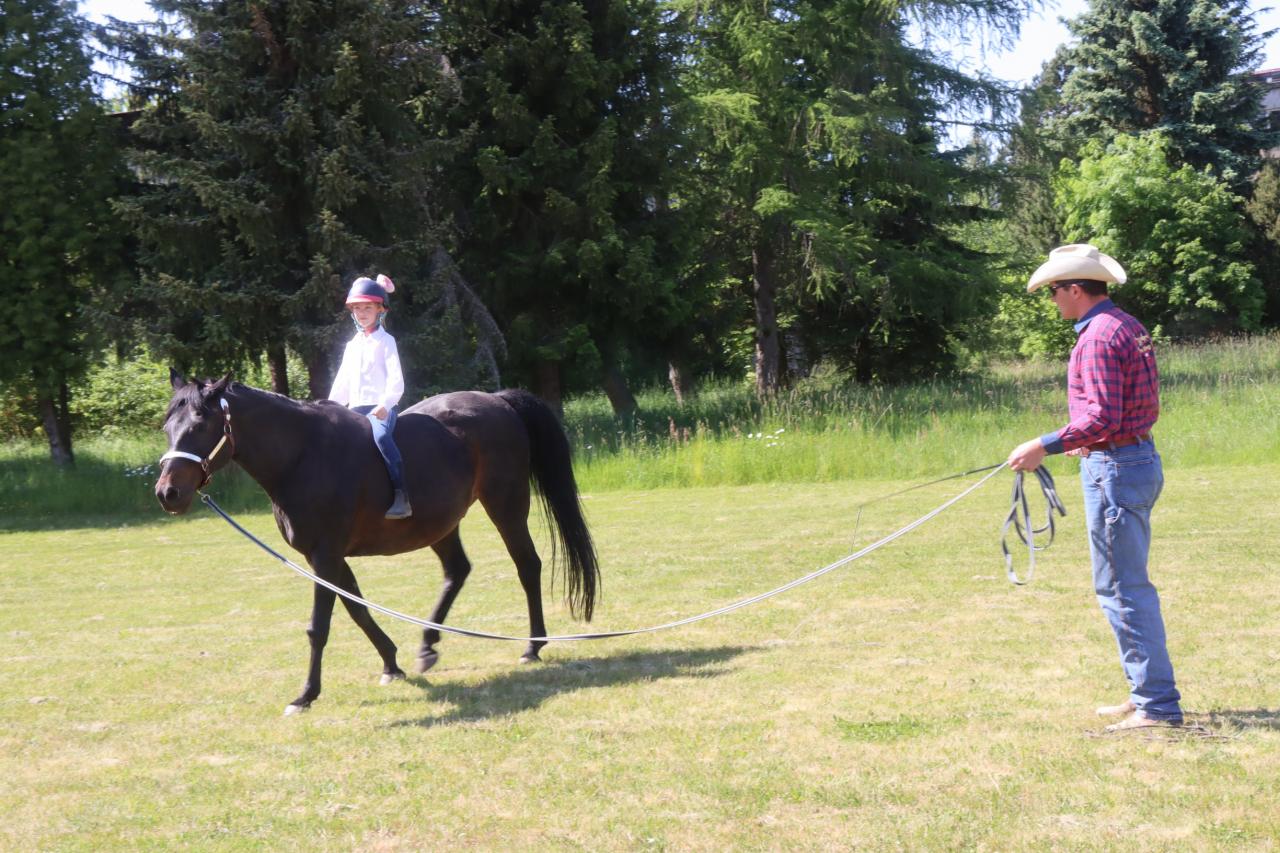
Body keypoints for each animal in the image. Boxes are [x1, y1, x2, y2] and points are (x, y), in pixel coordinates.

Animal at [154, 370, 600, 715]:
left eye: (199, 425)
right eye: (167, 427)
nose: (167, 493)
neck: (301, 456)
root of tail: (498, 400)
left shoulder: (325, 554)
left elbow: (319, 627)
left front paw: (305, 695)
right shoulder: (329, 557)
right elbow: (358, 610)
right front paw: (391, 664)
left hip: (505, 504)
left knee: (527, 564)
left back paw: (532, 646)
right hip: (440, 524)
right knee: (457, 571)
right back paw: (427, 646)